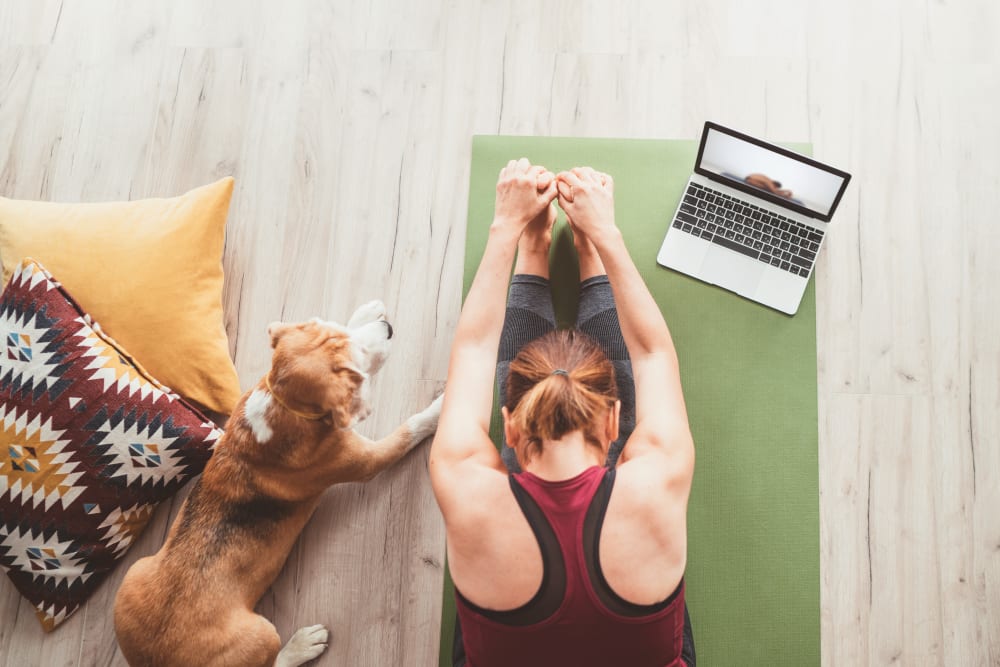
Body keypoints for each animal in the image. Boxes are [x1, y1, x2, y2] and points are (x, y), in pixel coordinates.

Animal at [115, 304, 444, 667]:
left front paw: (366, 311)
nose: (387, 328)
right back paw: (303, 644)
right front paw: (440, 409)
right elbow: (410, 428)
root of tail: (154, 658)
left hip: (132, 575)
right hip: (262, 635)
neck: (282, 402)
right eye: (355, 365)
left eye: (334, 329)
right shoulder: (370, 459)